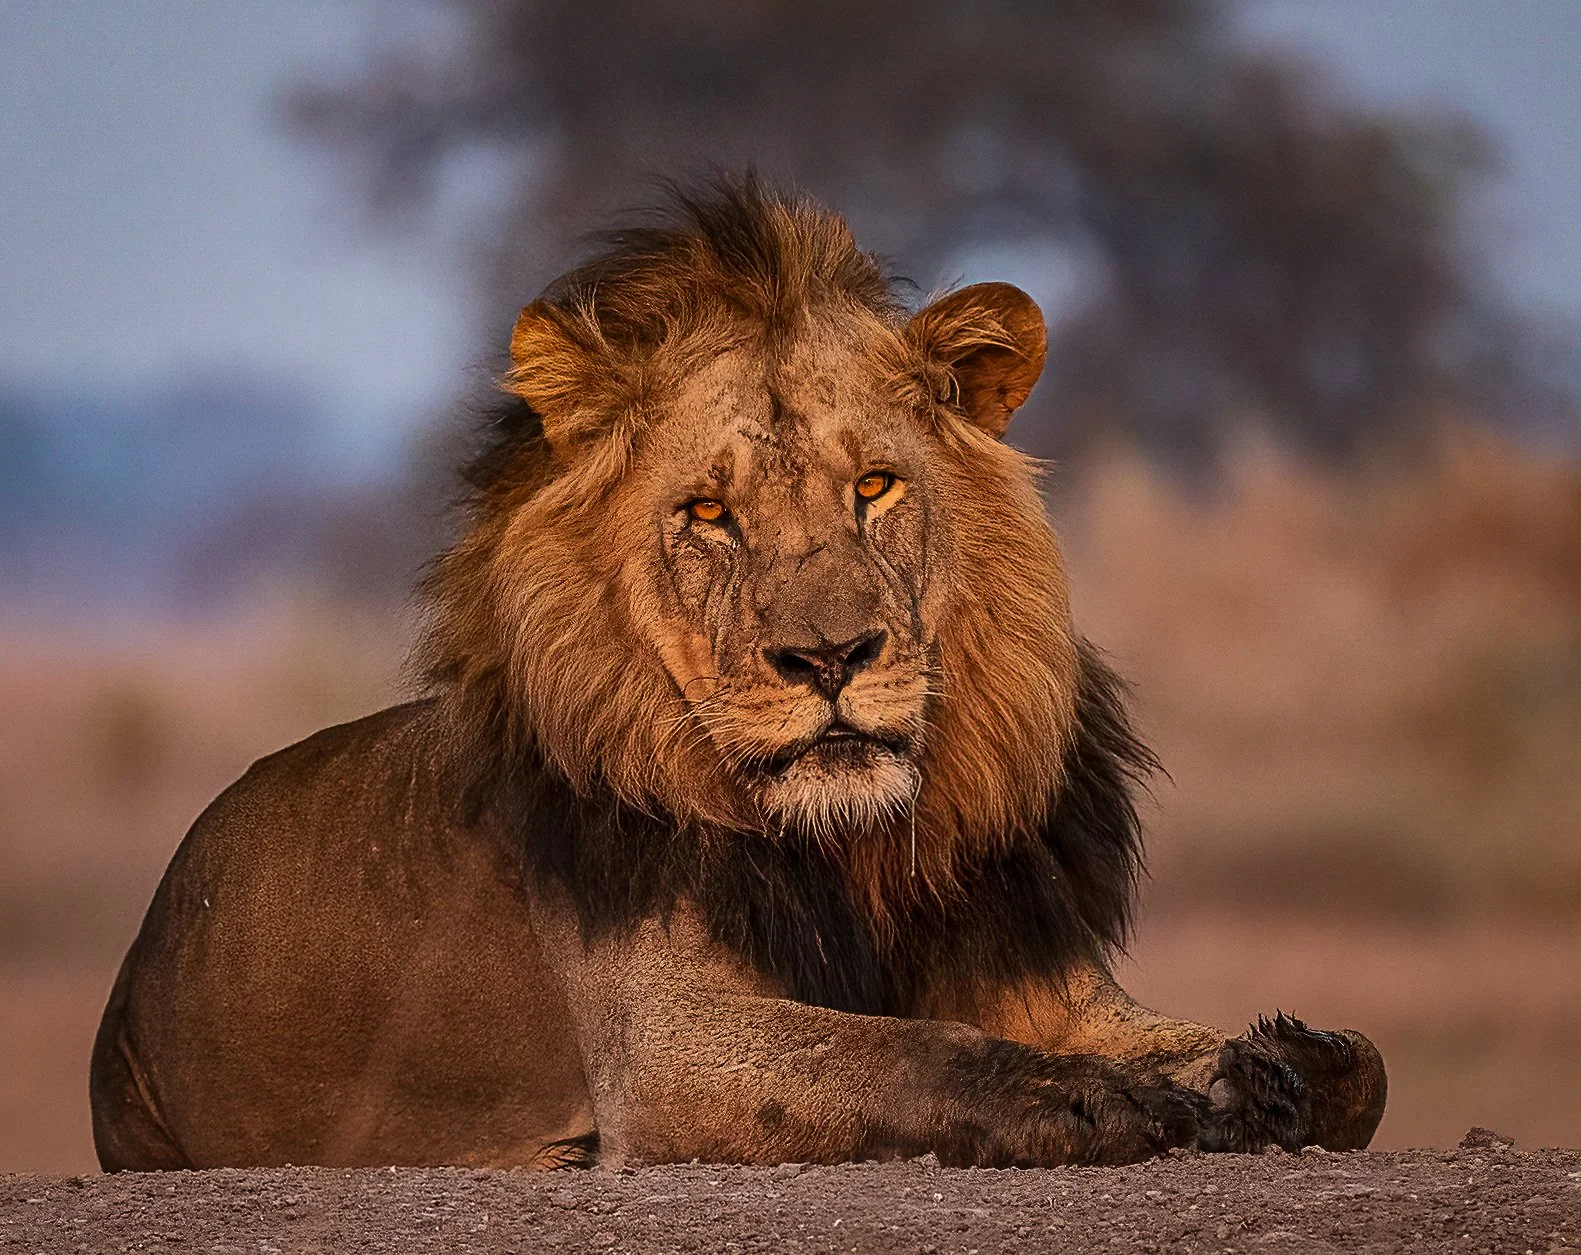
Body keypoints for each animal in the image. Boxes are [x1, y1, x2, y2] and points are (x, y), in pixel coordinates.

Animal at [90, 178, 1386, 1171]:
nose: (831, 658)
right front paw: (1085, 1100)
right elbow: (900, 1047)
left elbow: (1362, 1069)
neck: (861, 849)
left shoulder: (1047, 985)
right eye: (709, 513)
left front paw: (1274, 1069)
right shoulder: (664, 1047)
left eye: (874, 486)